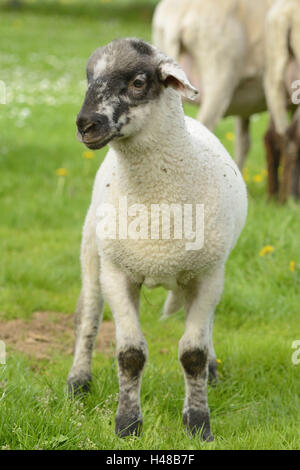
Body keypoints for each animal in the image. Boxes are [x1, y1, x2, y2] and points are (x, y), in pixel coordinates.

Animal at [68, 37, 248, 440]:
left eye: (138, 82)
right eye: (89, 78)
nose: (86, 125)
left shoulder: (207, 273)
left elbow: (193, 354)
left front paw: (198, 424)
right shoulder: (118, 274)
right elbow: (130, 355)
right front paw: (127, 424)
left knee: (205, 327)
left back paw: (213, 370)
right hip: (92, 250)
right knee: (88, 313)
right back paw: (78, 381)